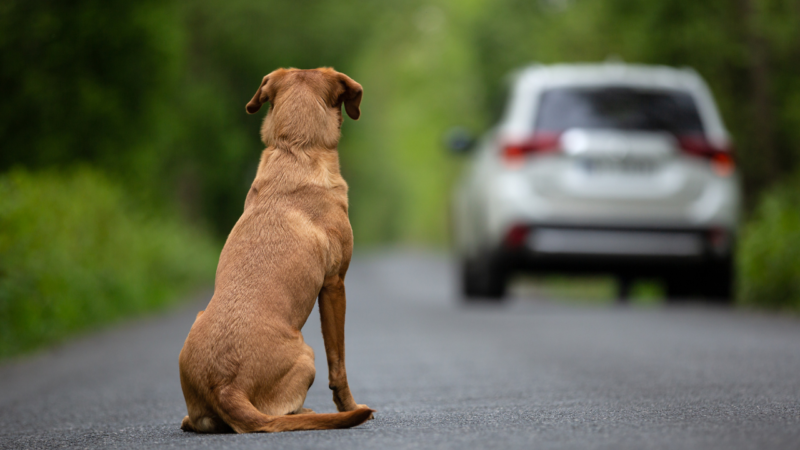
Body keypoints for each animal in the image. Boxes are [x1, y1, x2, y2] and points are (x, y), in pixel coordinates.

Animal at [178, 67, 372, 432]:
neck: (295, 148)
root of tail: (226, 387)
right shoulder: (334, 285)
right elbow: (338, 363)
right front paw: (349, 406)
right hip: (307, 355)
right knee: (283, 412)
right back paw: (309, 412)